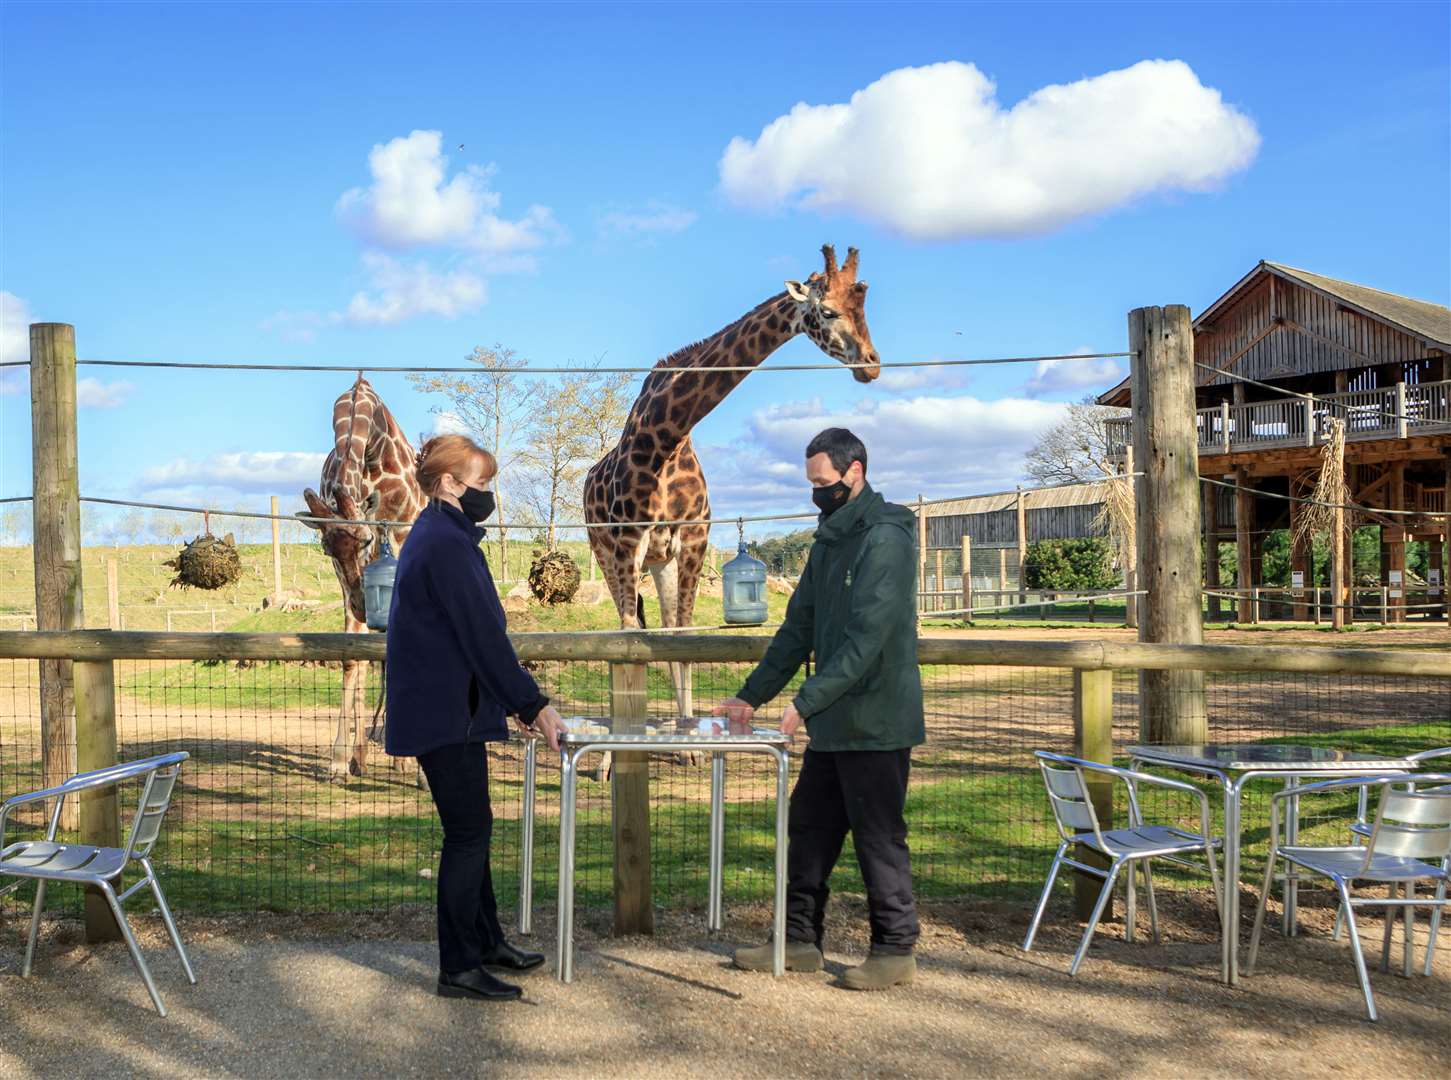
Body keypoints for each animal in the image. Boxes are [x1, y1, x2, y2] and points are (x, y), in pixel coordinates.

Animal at [298, 374, 423, 778]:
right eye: (327, 550)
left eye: (367, 538)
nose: (360, 605)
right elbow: (352, 656)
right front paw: (339, 759)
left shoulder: (402, 537)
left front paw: (409, 763)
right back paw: (360, 755)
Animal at [583, 245, 876, 717]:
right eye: (828, 311)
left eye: (863, 306)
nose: (872, 364)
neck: (667, 440)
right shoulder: (629, 541)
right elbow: (629, 635)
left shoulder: (693, 538)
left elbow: (682, 638)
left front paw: (688, 732)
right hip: (604, 551)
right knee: (622, 622)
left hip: (660, 561)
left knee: (664, 625)